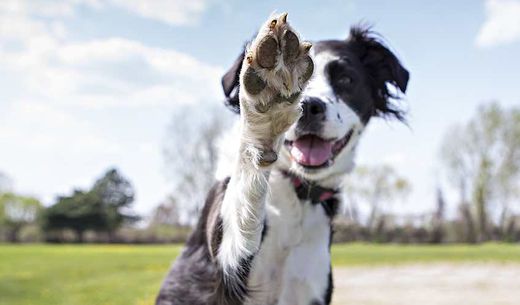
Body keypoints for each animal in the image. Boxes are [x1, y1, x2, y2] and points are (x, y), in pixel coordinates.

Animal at [156, 12, 408, 304]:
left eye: (346, 80)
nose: (310, 107)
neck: (296, 194)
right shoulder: (225, 273)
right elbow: (243, 204)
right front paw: (269, 102)